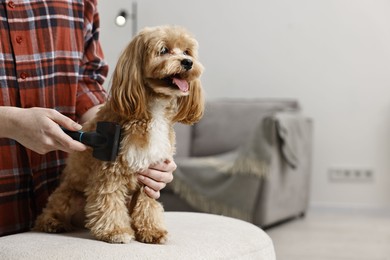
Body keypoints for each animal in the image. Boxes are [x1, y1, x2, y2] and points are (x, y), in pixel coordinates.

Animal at [34, 25, 204, 244]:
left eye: (187, 52)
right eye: (164, 50)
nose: (188, 63)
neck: (152, 109)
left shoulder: (151, 174)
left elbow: (148, 203)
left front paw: (152, 230)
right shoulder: (110, 170)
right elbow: (109, 199)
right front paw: (115, 231)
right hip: (68, 196)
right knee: (49, 212)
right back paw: (52, 223)